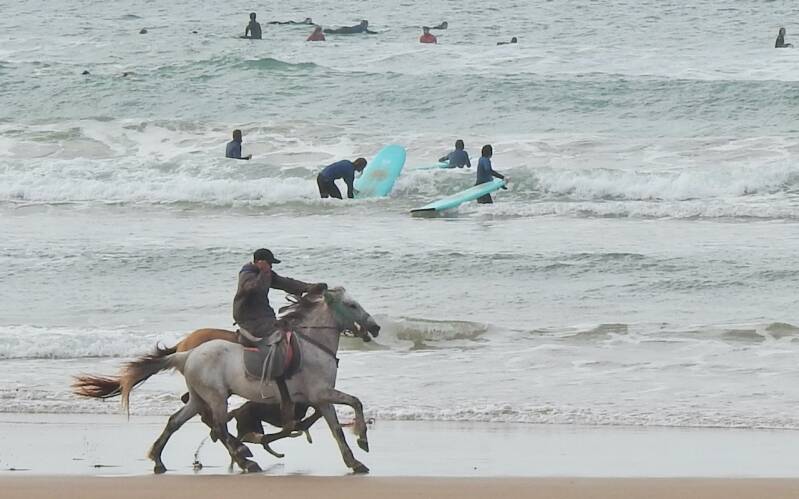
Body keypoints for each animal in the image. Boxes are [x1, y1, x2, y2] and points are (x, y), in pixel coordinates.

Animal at [73, 286, 380, 474]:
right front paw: (363, 440)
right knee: (219, 428)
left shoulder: (321, 399)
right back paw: (245, 460)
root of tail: (186, 353)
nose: (375, 327)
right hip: (216, 396)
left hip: (199, 399)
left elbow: (336, 428)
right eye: (352, 305)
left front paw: (355, 461)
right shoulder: (321, 394)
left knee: (176, 421)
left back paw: (158, 460)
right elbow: (355, 403)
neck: (314, 344)